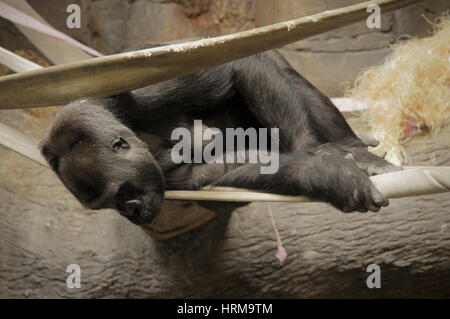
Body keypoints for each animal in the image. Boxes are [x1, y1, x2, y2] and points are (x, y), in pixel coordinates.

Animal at [38, 48, 398, 228]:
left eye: (124, 195)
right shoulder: (166, 179)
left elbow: (235, 67)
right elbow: (224, 170)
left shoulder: (133, 87)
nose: (133, 213)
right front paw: (324, 173)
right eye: (113, 206)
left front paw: (322, 156)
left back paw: (352, 146)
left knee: (274, 65)